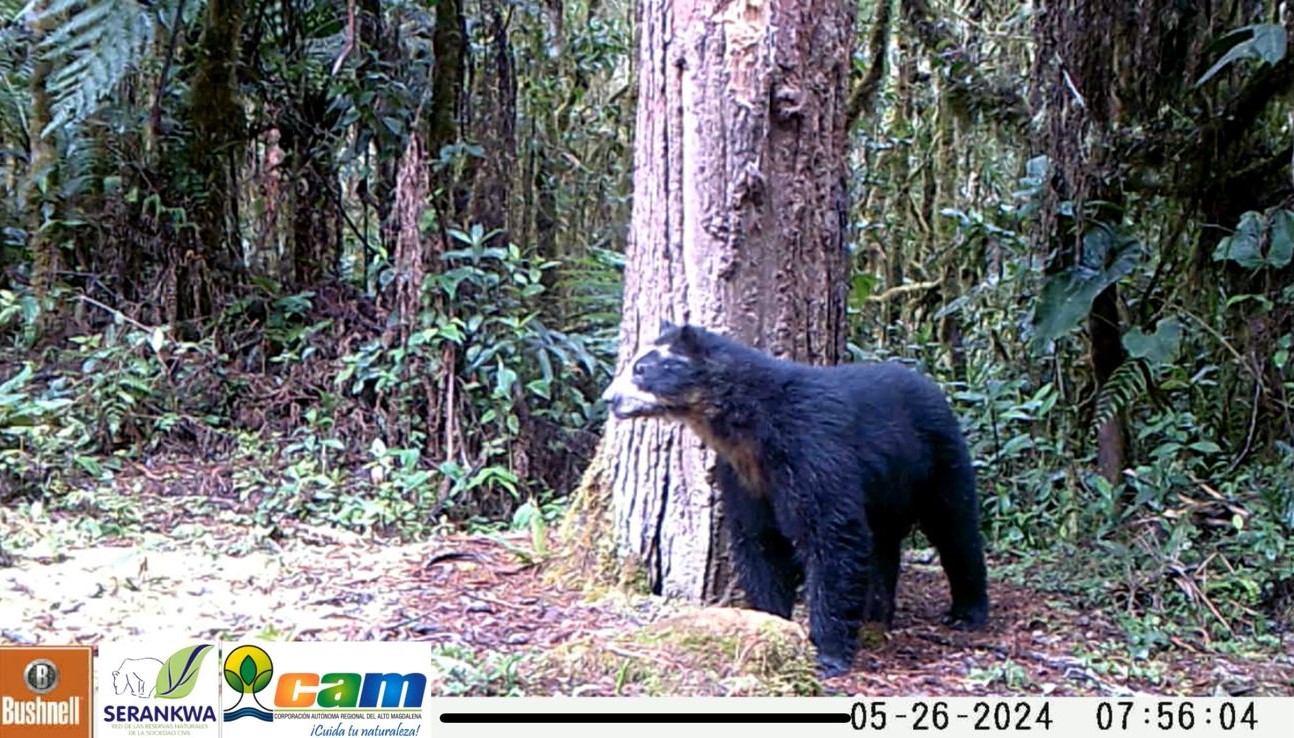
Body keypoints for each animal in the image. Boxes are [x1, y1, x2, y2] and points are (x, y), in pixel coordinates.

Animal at [600, 318, 983, 673]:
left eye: (642, 368)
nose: (609, 398)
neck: (750, 429)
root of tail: (931, 385)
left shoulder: (812, 451)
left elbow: (831, 536)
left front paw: (828, 653)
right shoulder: (742, 475)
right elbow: (758, 541)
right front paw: (771, 620)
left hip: (939, 459)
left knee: (954, 526)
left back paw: (966, 610)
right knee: (883, 545)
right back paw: (877, 613)